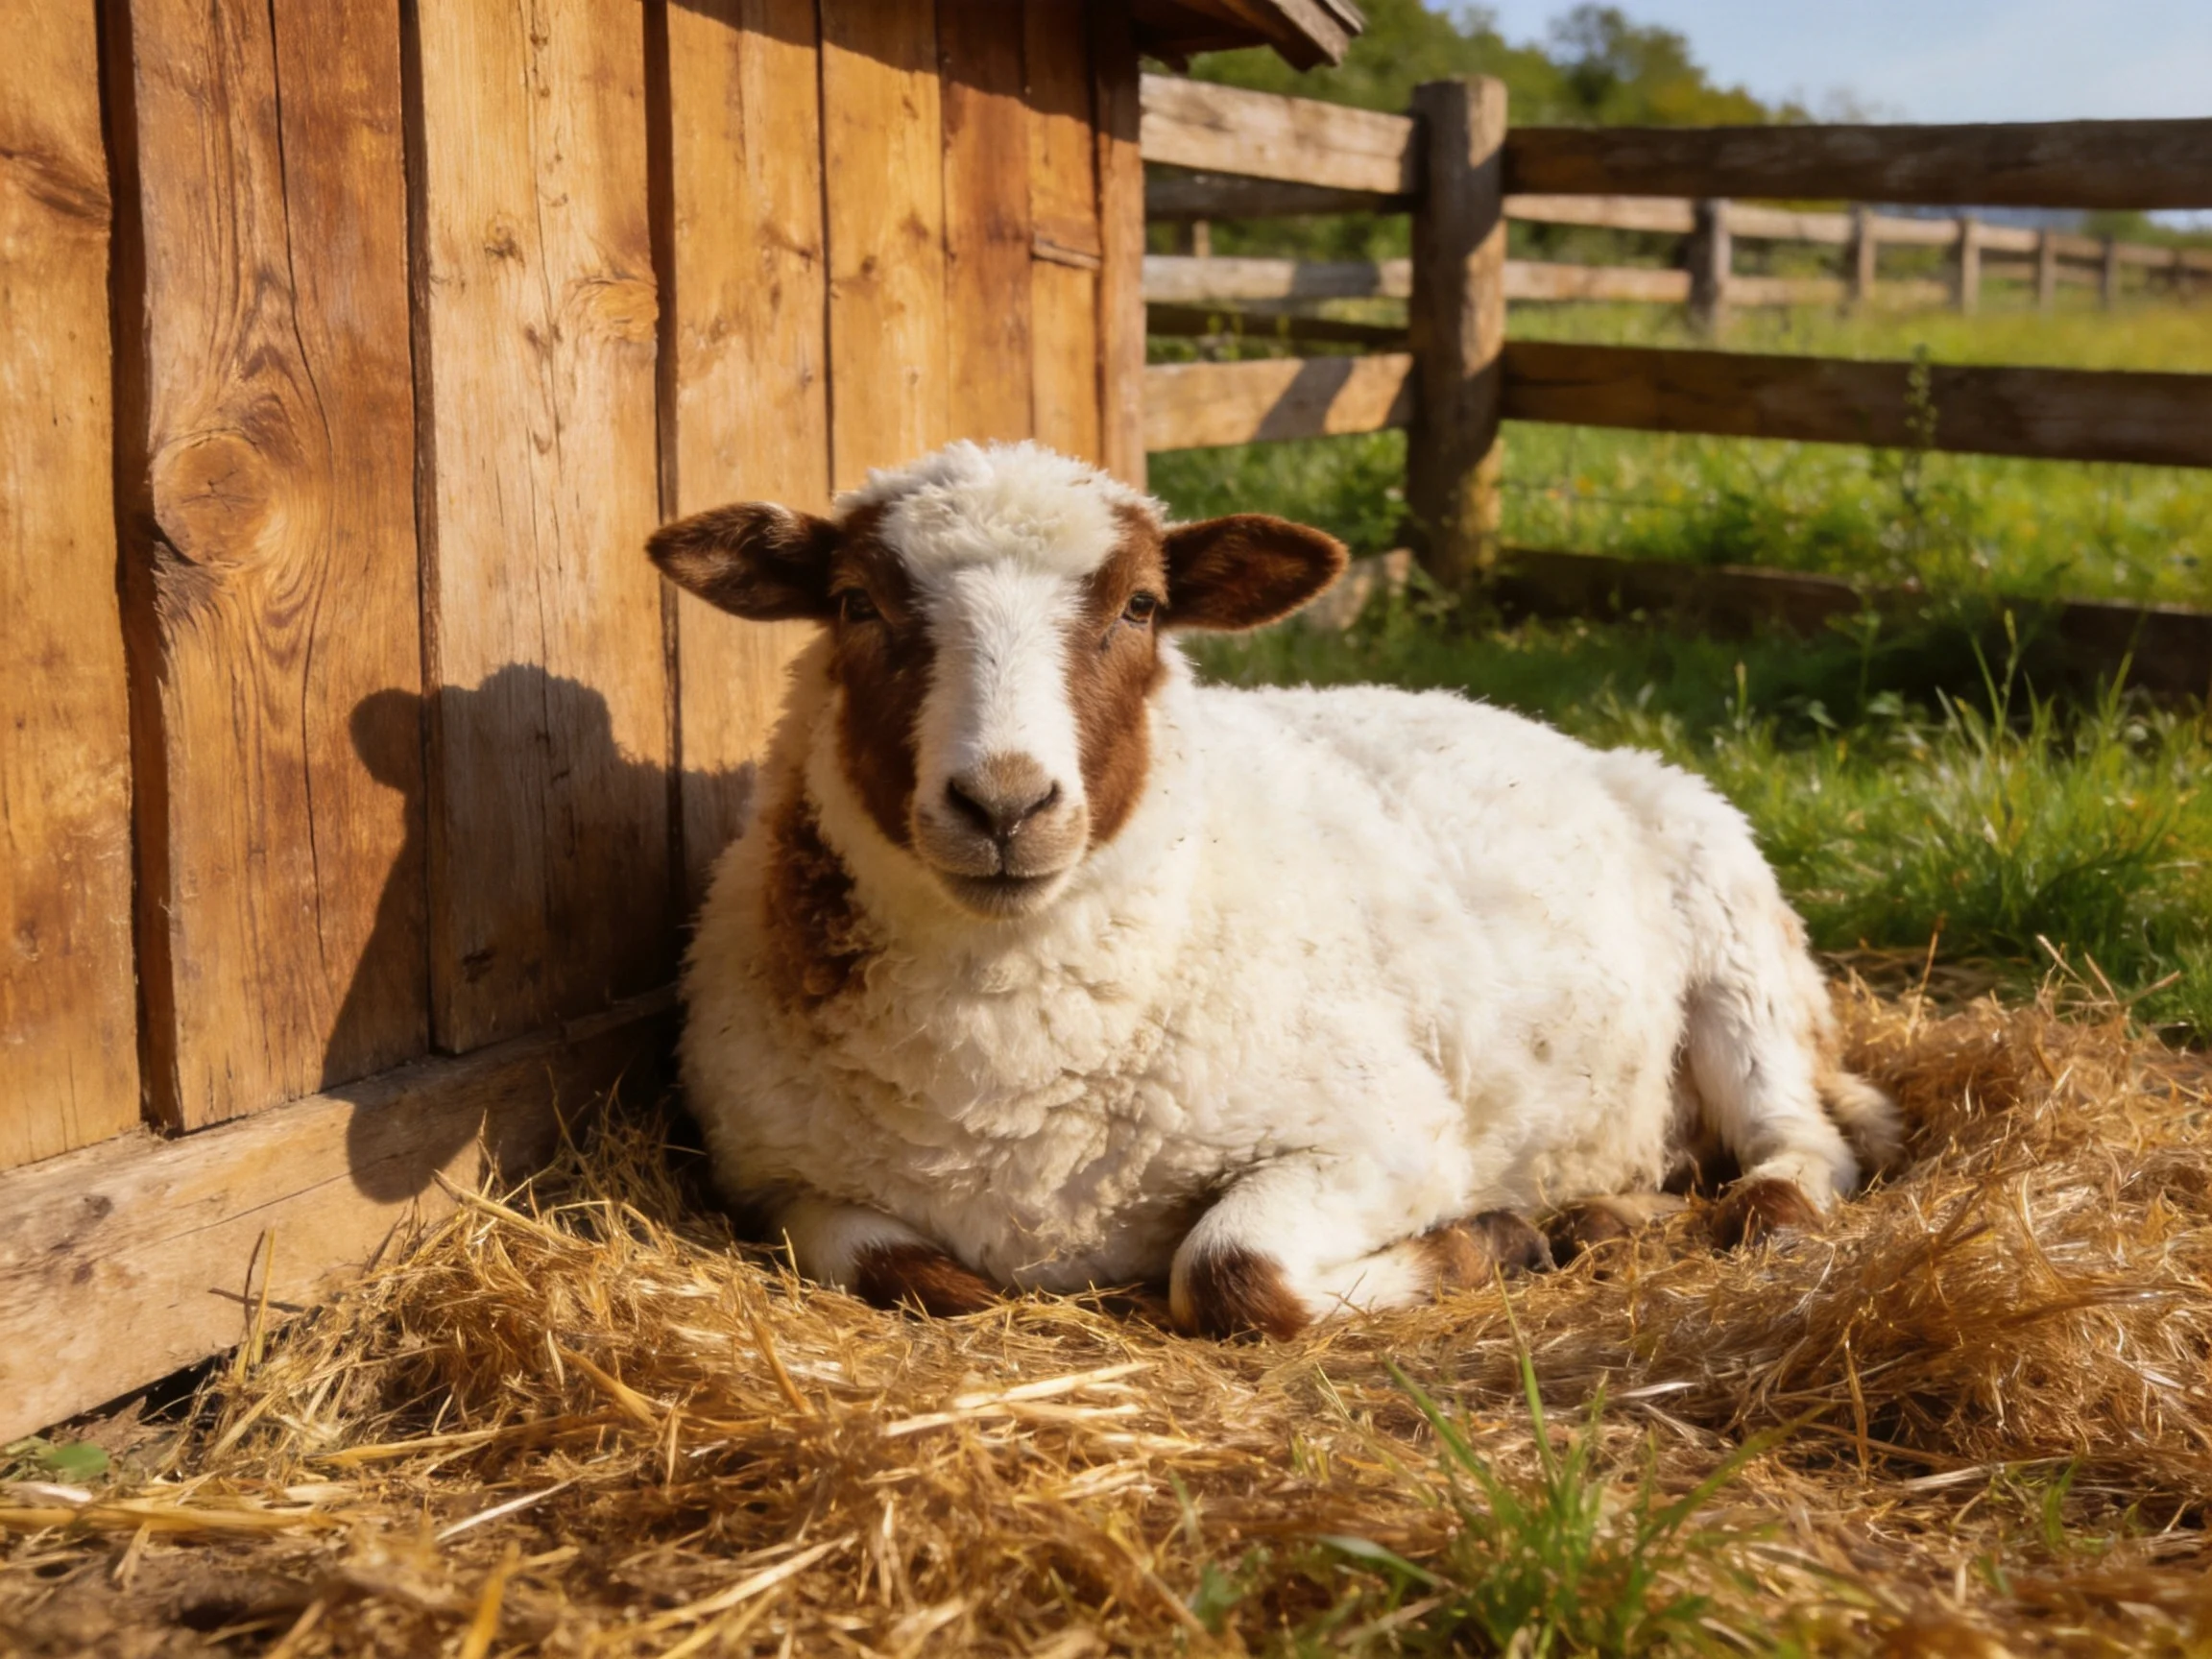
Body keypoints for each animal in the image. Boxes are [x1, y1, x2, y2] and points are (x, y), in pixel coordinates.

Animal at [648, 440, 1900, 1338]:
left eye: (1142, 606)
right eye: (856, 604)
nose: (1005, 805)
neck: (1002, 1084)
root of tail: (1586, 743)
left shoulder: (1389, 1137)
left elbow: (1232, 1273)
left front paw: (1480, 1245)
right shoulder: (770, 1183)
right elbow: (915, 1276)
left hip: (1740, 966)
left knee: (1804, 1149)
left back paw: (1744, 1218)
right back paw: (1607, 1215)